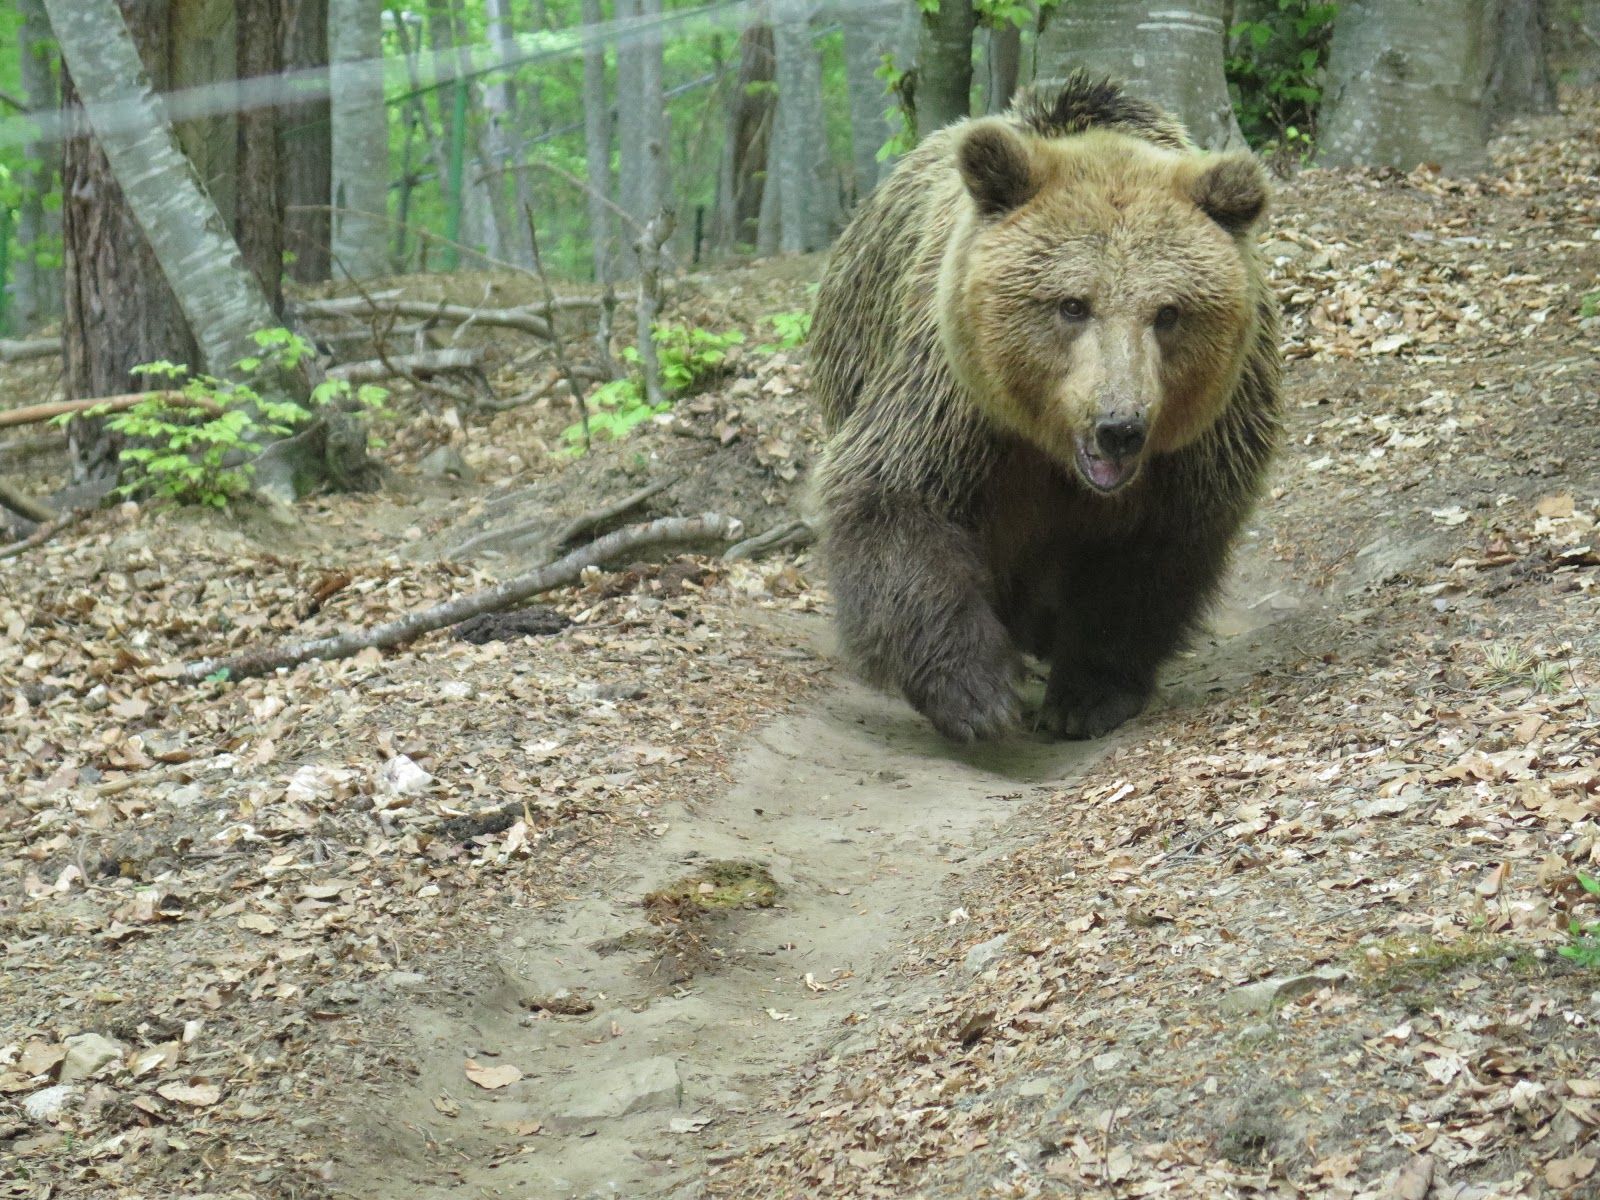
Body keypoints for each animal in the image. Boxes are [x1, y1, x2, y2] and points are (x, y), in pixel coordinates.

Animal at [809, 72, 1282, 743]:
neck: (1053, 451)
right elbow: (895, 496)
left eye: (1168, 313)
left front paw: (1087, 695)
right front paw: (977, 692)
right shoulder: (951, 397)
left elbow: (1146, 564)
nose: (1119, 427)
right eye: (1072, 304)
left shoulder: (1198, 448)